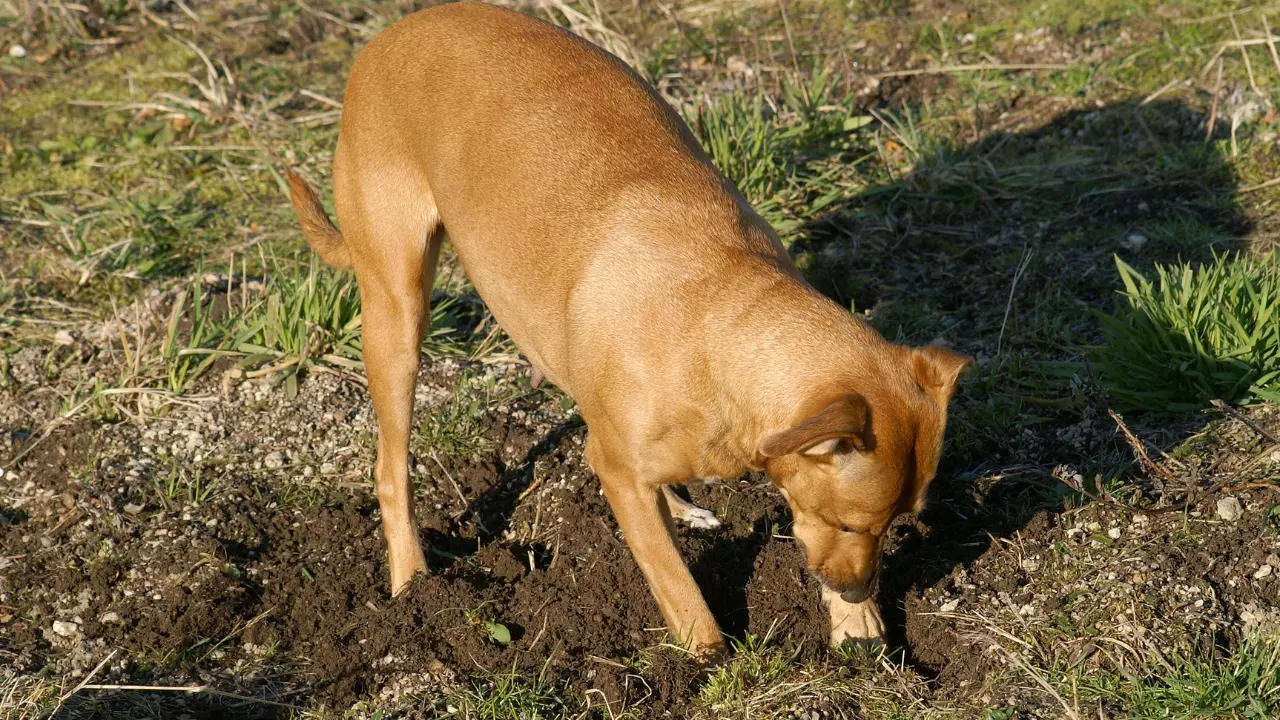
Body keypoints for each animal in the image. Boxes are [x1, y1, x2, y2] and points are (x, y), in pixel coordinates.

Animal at [290, 2, 967, 661]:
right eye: (851, 523)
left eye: (895, 524)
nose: (856, 588)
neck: (722, 325)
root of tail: (390, 35)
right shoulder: (617, 467)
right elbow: (680, 589)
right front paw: (710, 662)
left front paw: (858, 625)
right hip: (397, 313)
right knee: (391, 471)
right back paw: (411, 583)